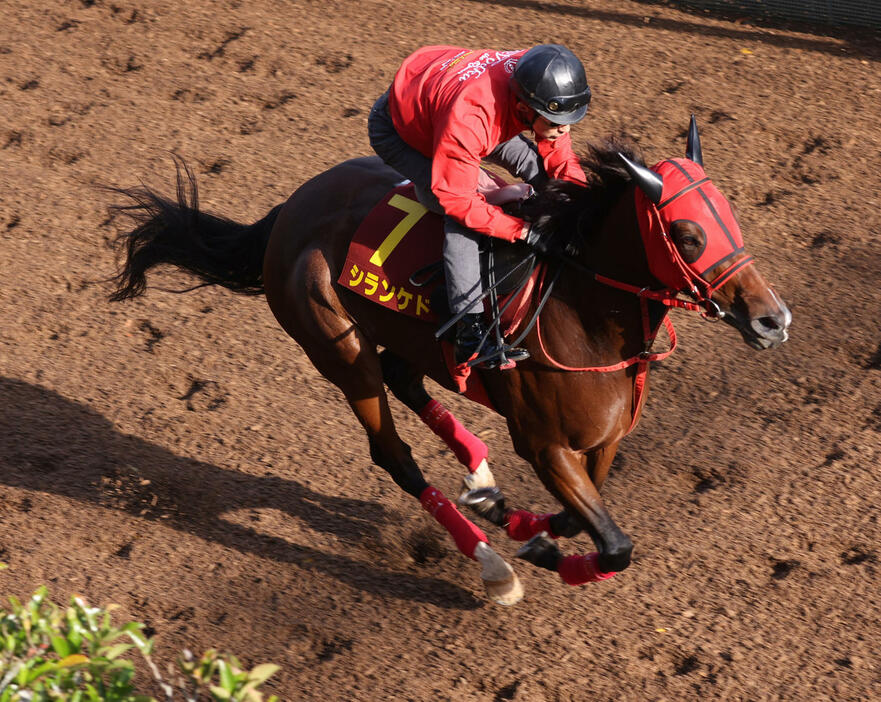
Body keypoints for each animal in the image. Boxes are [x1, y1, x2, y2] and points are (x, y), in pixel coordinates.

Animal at [108, 119, 792, 604]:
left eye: (730, 217)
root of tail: (288, 211)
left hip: (404, 342)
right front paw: (542, 555)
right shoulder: (544, 444)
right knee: (392, 450)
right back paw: (492, 565)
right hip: (335, 346)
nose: (773, 319)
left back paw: (482, 481)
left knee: (405, 377)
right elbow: (614, 546)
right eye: (686, 235)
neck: (582, 313)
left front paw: (515, 517)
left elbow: (583, 516)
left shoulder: (603, 440)